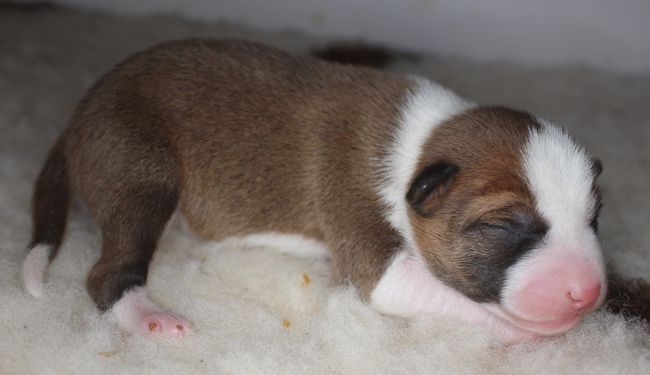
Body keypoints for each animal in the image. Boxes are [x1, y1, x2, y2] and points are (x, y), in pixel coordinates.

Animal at [22, 38, 604, 344]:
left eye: (594, 217)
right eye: (505, 226)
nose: (588, 292)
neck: (423, 142)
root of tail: (77, 117)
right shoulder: (369, 241)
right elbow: (423, 290)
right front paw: (525, 333)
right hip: (141, 166)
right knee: (107, 274)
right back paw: (147, 314)